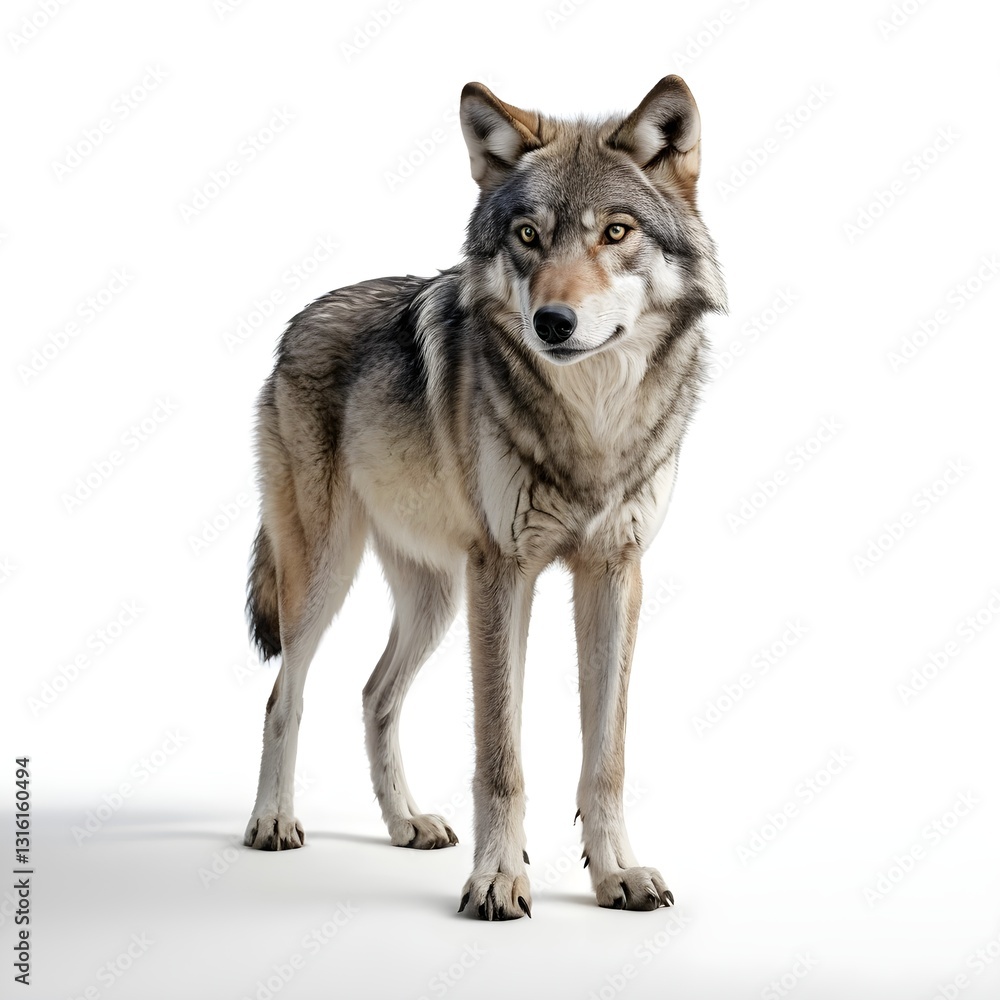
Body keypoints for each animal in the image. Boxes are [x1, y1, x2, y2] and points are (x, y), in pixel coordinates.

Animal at [243, 75, 726, 920]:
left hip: (436, 596)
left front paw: (618, 874)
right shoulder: (504, 572)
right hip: (327, 577)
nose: (553, 322)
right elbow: (501, 756)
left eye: (616, 233)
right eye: (528, 235)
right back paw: (273, 821)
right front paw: (498, 879)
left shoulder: (613, 573)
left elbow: (606, 757)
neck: (590, 422)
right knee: (284, 696)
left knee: (374, 695)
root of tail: (295, 323)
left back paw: (407, 824)